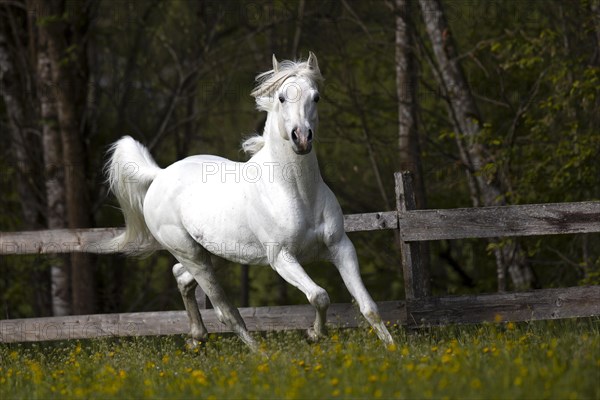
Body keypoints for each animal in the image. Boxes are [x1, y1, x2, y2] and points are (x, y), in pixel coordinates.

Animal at [103, 52, 394, 350]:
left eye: (316, 97)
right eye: (281, 98)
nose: (301, 138)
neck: (299, 193)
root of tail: (160, 175)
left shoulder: (341, 247)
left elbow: (369, 307)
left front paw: (393, 349)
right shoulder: (282, 258)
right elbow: (319, 296)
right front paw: (313, 334)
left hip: (215, 253)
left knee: (181, 277)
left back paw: (197, 337)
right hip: (191, 254)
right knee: (226, 312)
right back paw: (260, 355)